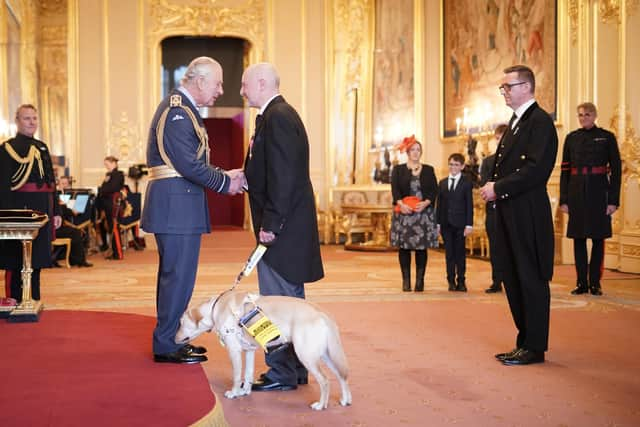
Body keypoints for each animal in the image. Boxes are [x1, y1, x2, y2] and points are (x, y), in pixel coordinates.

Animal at [175, 290, 352, 412]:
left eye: (181, 323)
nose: (173, 338)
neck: (215, 308)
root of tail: (321, 312)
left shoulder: (234, 350)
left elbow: (237, 376)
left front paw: (234, 393)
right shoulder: (250, 350)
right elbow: (247, 374)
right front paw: (244, 391)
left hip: (307, 355)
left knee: (325, 381)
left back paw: (321, 405)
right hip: (327, 355)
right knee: (341, 376)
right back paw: (345, 400)